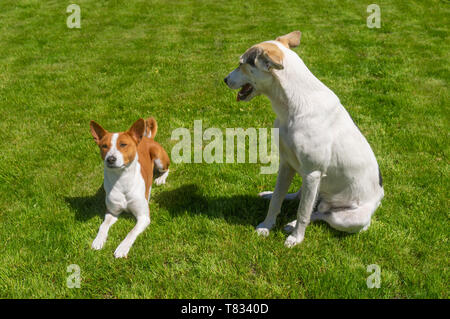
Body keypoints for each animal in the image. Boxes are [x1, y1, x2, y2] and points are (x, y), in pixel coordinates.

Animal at [89, 117, 171, 258]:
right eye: (104, 146)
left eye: (123, 144)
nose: (110, 159)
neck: (121, 181)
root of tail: (146, 137)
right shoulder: (111, 212)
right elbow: (103, 226)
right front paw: (98, 240)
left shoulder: (143, 217)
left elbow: (131, 232)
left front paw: (122, 247)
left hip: (160, 159)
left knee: (167, 169)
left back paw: (160, 179)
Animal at [224, 31, 384, 249]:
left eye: (241, 64)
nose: (224, 80)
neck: (291, 107)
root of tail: (380, 198)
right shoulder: (286, 163)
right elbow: (277, 199)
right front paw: (266, 225)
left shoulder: (313, 173)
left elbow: (303, 213)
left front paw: (296, 238)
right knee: (303, 199)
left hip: (347, 218)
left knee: (321, 214)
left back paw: (293, 225)